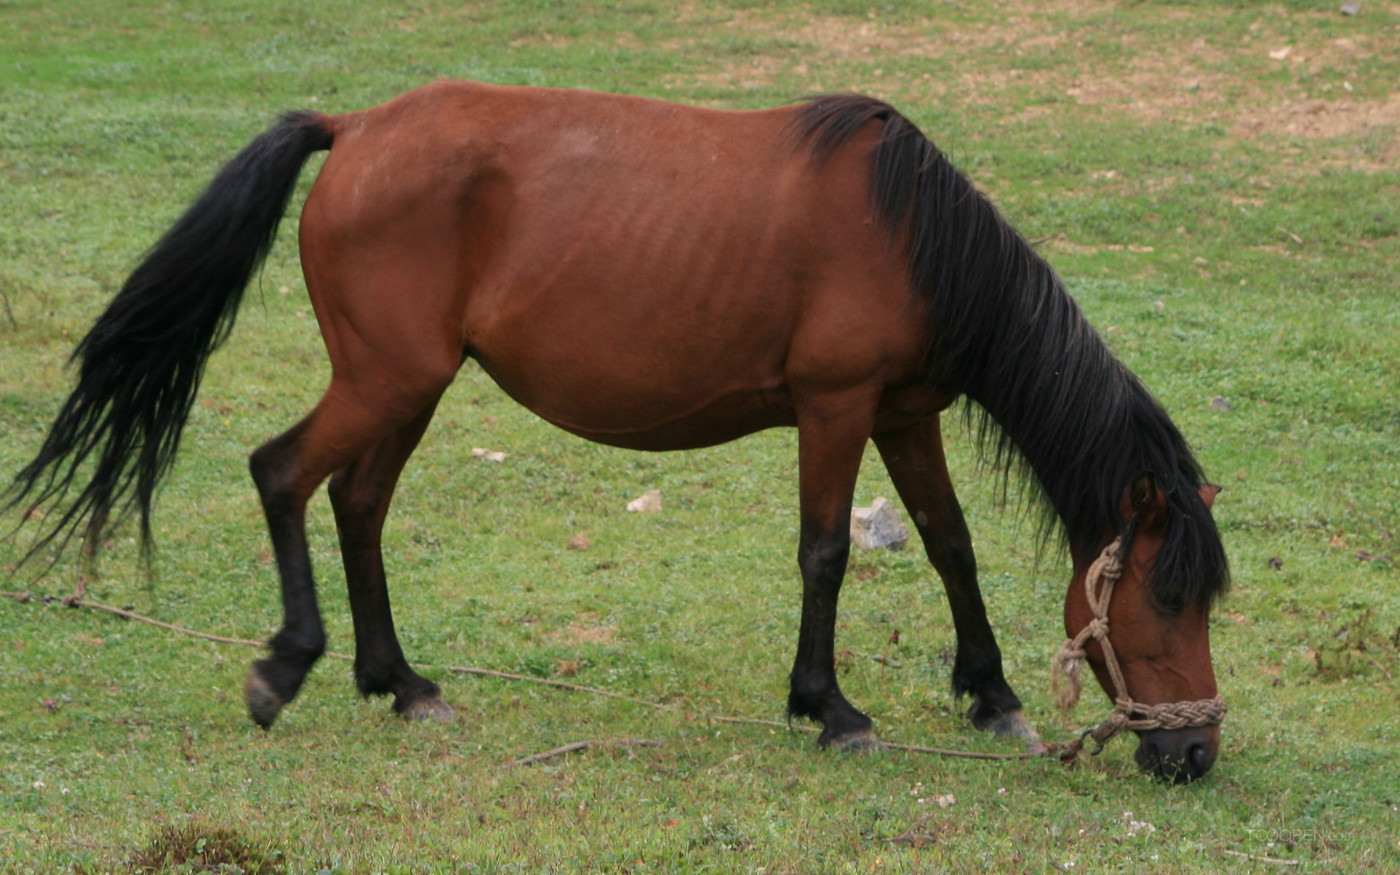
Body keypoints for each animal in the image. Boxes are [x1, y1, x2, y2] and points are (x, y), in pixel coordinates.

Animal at [2, 81, 1226, 778]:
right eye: (1164, 603)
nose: (1195, 752)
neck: (910, 234)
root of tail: (353, 131)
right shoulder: (834, 408)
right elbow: (826, 552)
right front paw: (829, 707)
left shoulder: (903, 411)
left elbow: (948, 545)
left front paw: (992, 697)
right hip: (387, 379)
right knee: (282, 473)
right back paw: (288, 666)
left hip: (409, 386)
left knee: (357, 501)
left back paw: (402, 682)